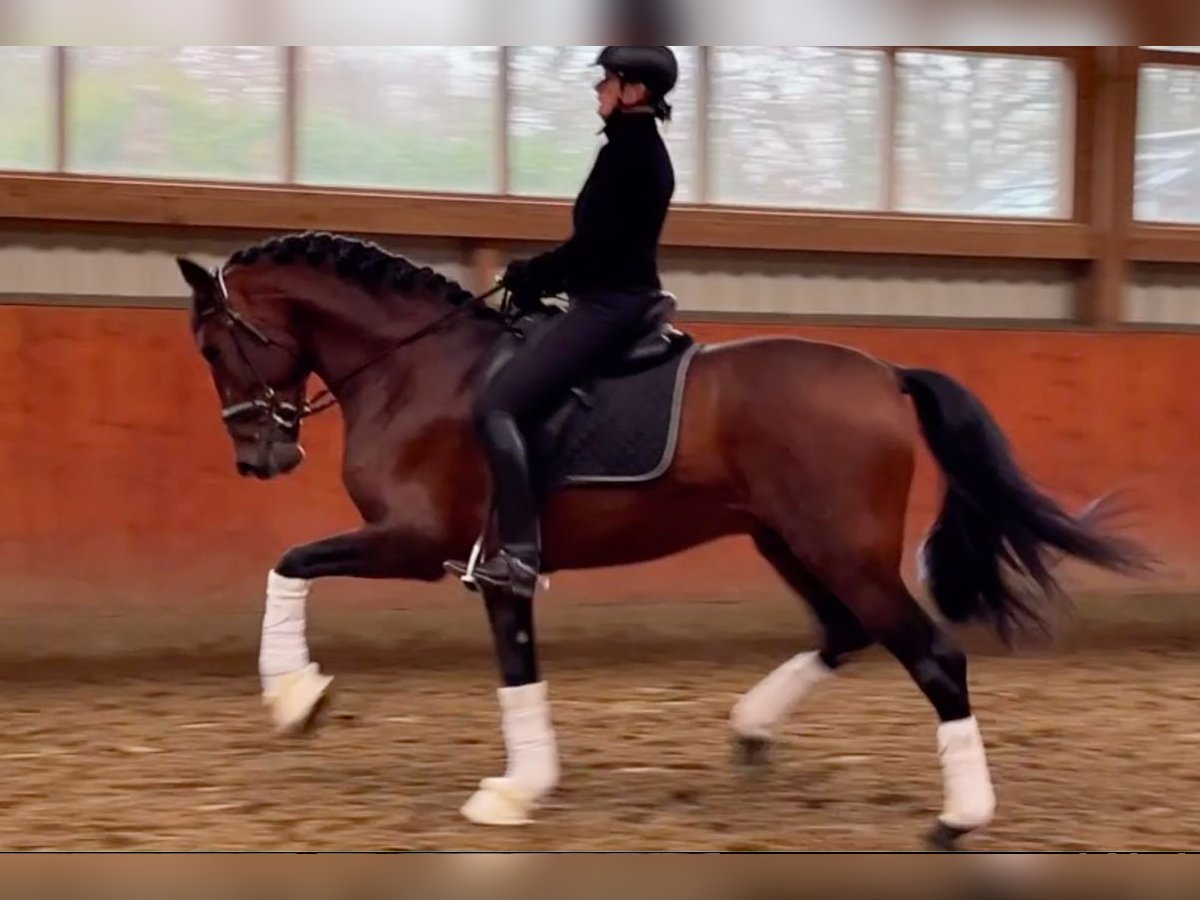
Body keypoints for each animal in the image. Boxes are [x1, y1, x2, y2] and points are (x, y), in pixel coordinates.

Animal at [175, 234, 1142, 854]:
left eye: (217, 346)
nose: (261, 458)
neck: (419, 371)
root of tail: (885, 375)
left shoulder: (414, 541)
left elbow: (290, 564)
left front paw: (295, 698)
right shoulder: (492, 569)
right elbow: (517, 667)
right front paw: (523, 786)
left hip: (839, 548)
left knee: (933, 657)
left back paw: (959, 818)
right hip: (788, 541)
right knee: (845, 632)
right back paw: (753, 732)